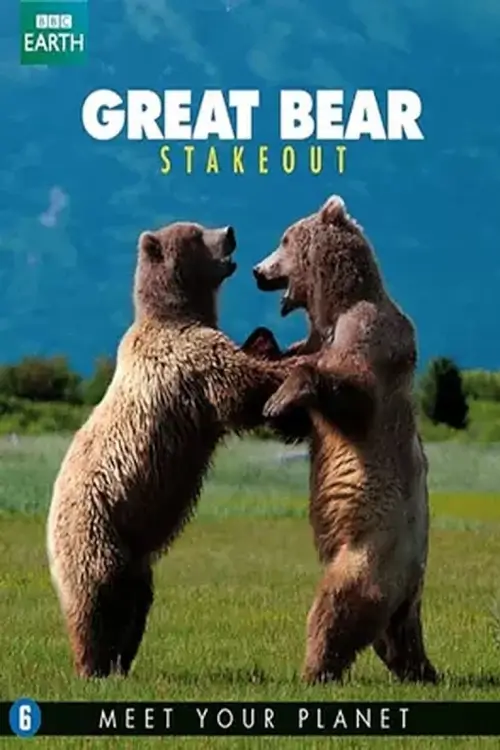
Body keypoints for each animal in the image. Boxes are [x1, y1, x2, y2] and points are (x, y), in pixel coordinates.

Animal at [47, 220, 304, 679]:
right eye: (197, 233)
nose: (230, 230)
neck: (179, 313)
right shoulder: (187, 361)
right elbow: (241, 385)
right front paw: (294, 364)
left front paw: (270, 342)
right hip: (94, 530)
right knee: (97, 599)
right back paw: (93, 664)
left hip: (132, 552)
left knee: (136, 600)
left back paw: (120, 660)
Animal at [250, 195, 438, 685]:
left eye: (284, 238)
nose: (258, 270)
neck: (333, 309)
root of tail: (413, 590)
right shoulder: (317, 339)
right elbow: (300, 420)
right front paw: (262, 347)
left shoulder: (370, 337)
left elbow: (352, 393)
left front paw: (280, 396)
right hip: (393, 595)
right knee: (390, 639)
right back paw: (418, 669)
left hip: (371, 554)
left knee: (337, 606)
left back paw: (314, 670)